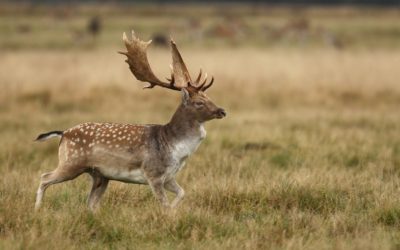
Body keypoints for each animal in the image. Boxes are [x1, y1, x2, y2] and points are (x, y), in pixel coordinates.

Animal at [33, 30, 228, 211]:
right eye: (199, 102)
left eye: (209, 97)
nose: (222, 111)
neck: (175, 149)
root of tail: (63, 133)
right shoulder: (153, 173)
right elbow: (164, 204)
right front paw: (169, 215)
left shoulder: (169, 176)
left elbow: (182, 193)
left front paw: (174, 211)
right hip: (72, 163)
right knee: (44, 177)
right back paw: (37, 209)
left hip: (100, 175)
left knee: (90, 204)